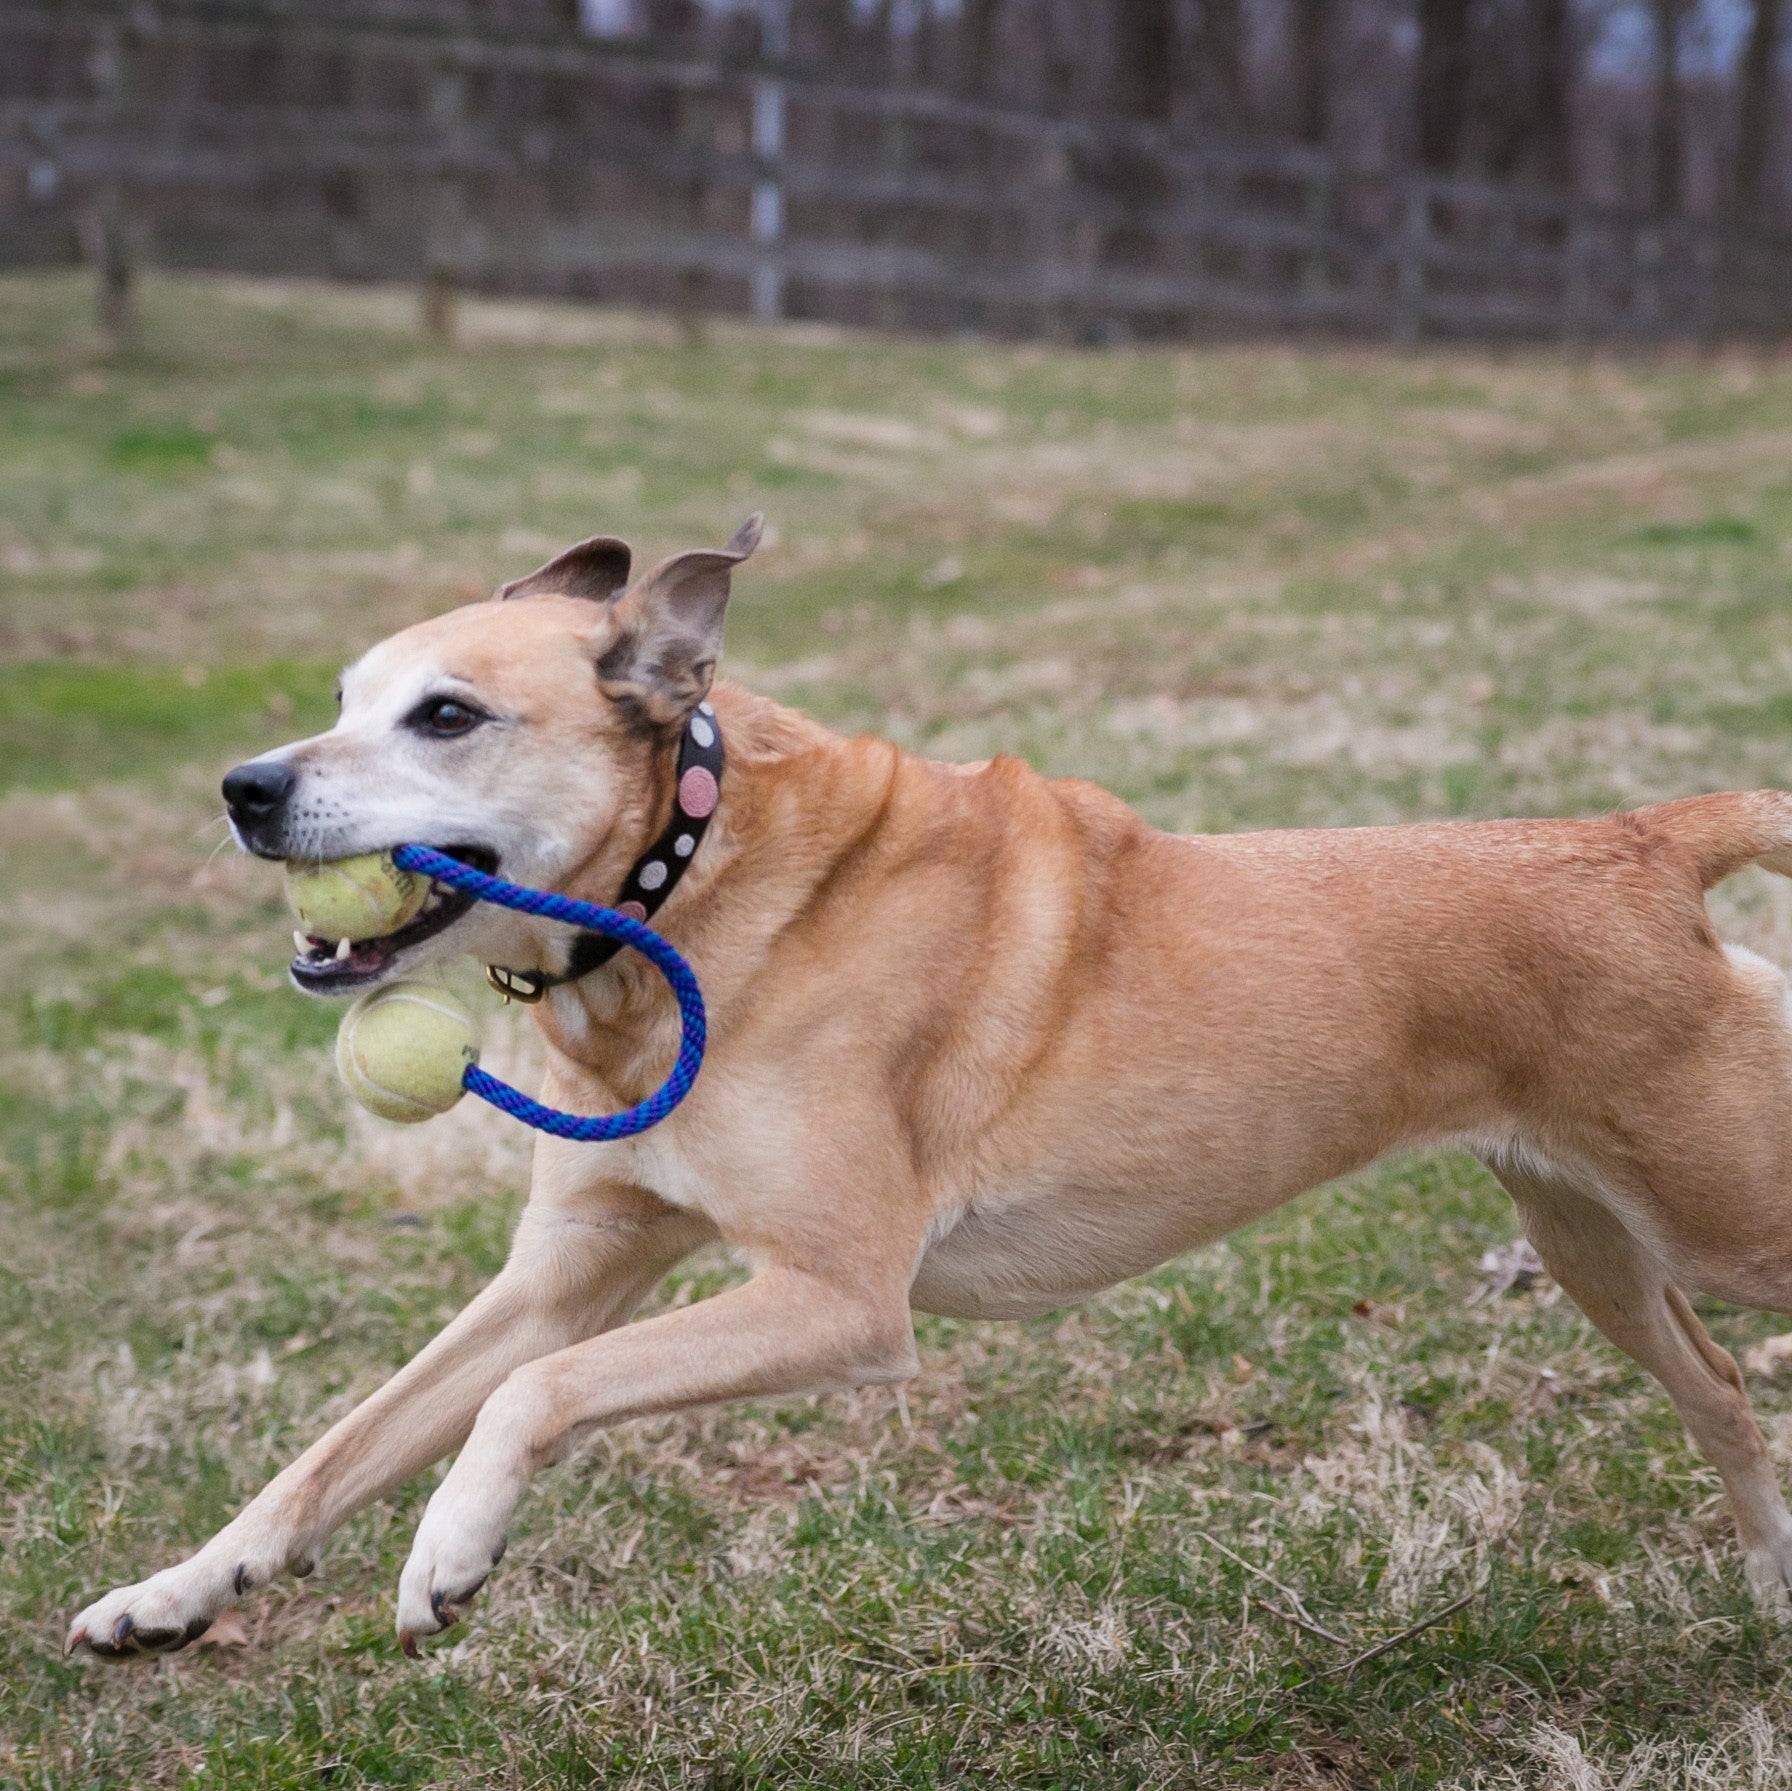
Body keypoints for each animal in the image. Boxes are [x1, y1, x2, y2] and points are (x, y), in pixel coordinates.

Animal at [66, 516, 1792, 1649]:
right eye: (343, 699)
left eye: (446, 715)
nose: (244, 787)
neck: (684, 898)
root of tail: (1642, 839)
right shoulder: (569, 1268)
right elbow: (339, 1441)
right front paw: (176, 1591)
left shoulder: (836, 1297)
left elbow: (527, 1396)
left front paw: (451, 1548)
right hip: (1590, 1236)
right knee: (1721, 1388)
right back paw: (1773, 1585)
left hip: (1715, 1210)